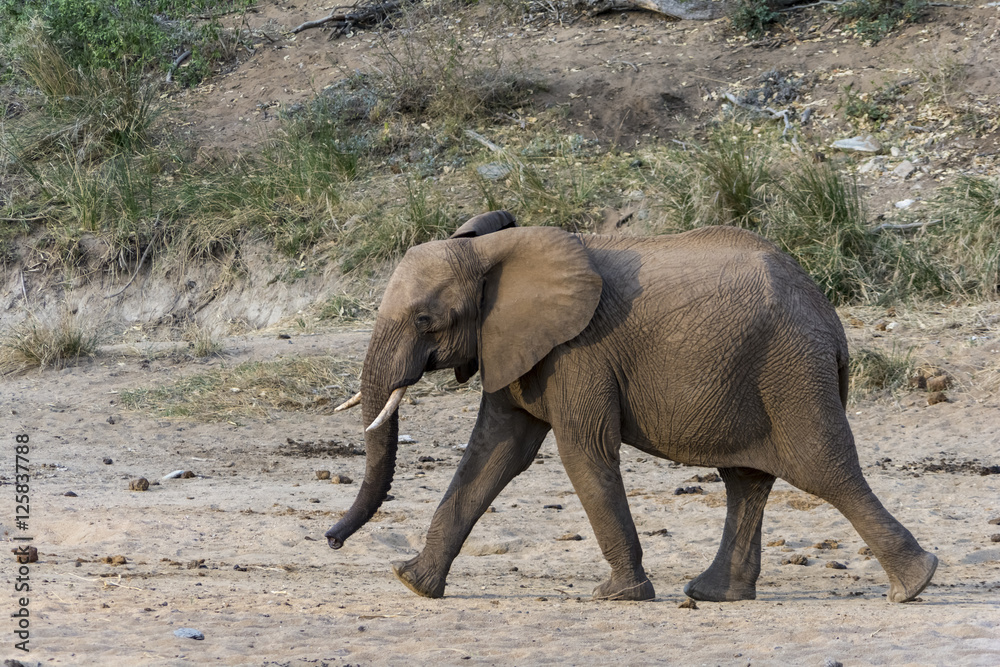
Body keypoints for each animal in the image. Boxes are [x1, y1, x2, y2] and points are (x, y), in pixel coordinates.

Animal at [325, 210, 937, 604]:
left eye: (425, 320)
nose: (331, 540)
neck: (494, 250)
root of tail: (832, 321)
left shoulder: (578, 353)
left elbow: (582, 453)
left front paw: (618, 596)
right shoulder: (513, 345)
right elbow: (493, 453)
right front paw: (411, 582)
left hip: (792, 372)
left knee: (822, 469)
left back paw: (915, 586)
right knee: (746, 479)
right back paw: (716, 595)